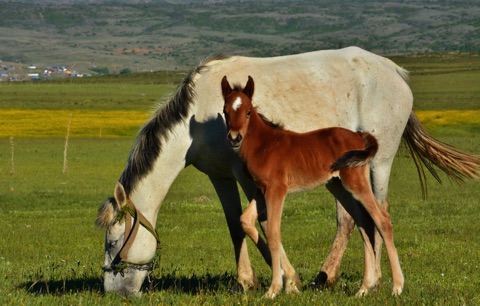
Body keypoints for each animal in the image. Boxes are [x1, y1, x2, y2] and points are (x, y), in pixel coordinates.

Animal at [95, 47, 478, 296]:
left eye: (113, 242)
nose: (114, 292)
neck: (197, 117)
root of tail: (397, 73)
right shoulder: (220, 175)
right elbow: (237, 225)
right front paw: (247, 281)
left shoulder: (249, 177)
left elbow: (264, 225)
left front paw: (286, 280)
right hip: (341, 177)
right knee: (354, 219)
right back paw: (330, 277)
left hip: (378, 166)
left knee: (378, 215)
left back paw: (381, 282)